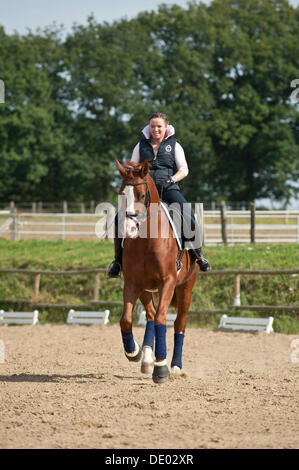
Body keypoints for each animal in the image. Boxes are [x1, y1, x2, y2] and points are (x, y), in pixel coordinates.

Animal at [116, 160, 199, 384]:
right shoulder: (132, 283)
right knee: (151, 315)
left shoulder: (167, 283)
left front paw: (161, 368)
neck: (147, 241)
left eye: (142, 194)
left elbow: (163, 319)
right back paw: (146, 359)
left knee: (179, 324)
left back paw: (176, 367)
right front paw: (133, 352)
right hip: (146, 290)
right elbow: (126, 320)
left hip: (185, 289)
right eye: (121, 193)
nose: (128, 230)